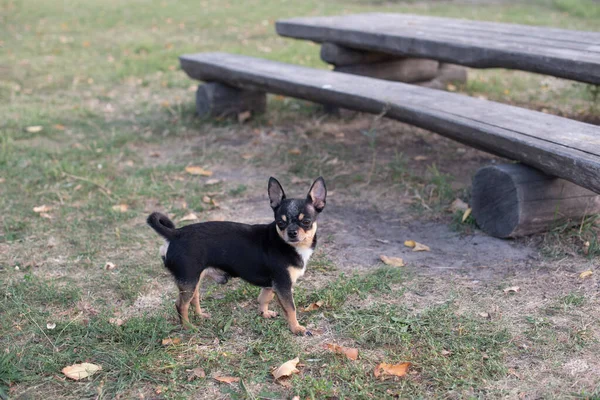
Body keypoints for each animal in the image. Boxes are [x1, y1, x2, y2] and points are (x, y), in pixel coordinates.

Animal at [148, 177, 328, 336]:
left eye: (306, 222)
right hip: (189, 280)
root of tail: (175, 234)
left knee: (194, 298)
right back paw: (188, 327)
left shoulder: (272, 285)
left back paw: (200, 316)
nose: (291, 232)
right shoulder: (283, 285)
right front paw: (296, 328)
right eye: (280, 223)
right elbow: (291, 309)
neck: (291, 246)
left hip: (194, 280)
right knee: (181, 305)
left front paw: (264, 313)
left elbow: (264, 298)